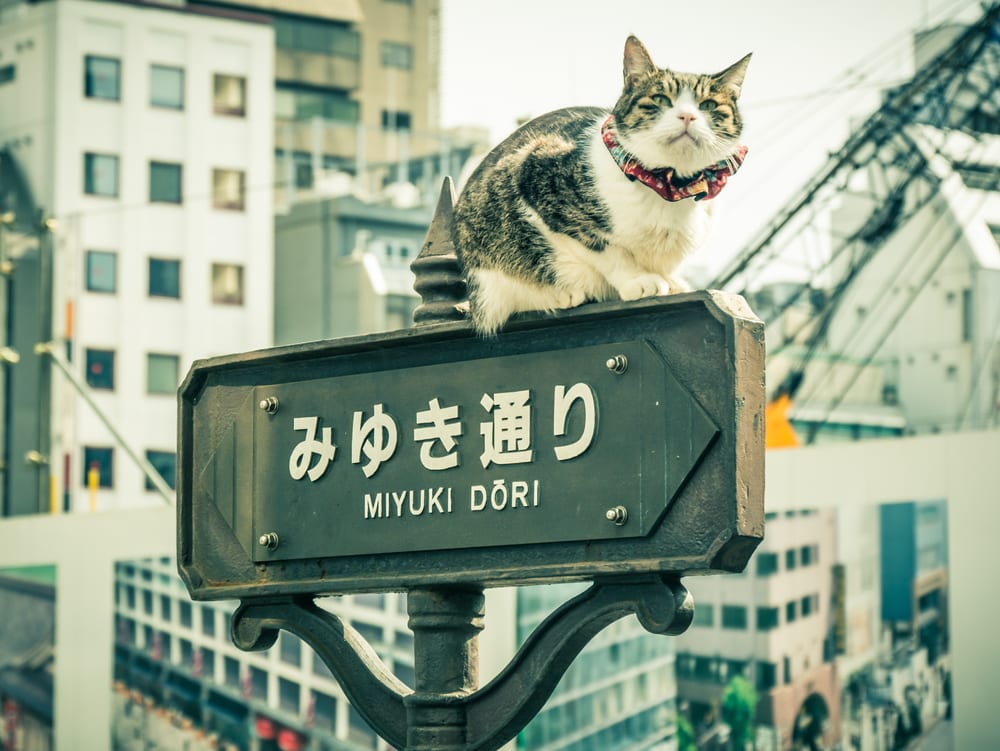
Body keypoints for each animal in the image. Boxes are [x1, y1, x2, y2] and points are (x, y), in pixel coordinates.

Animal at [454, 35, 752, 334]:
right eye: (660, 99)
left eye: (708, 105)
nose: (687, 117)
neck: (670, 186)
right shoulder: (535, 174)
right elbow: (605, 249)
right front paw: (637, 280)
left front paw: (671, 280)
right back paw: (564, 293)